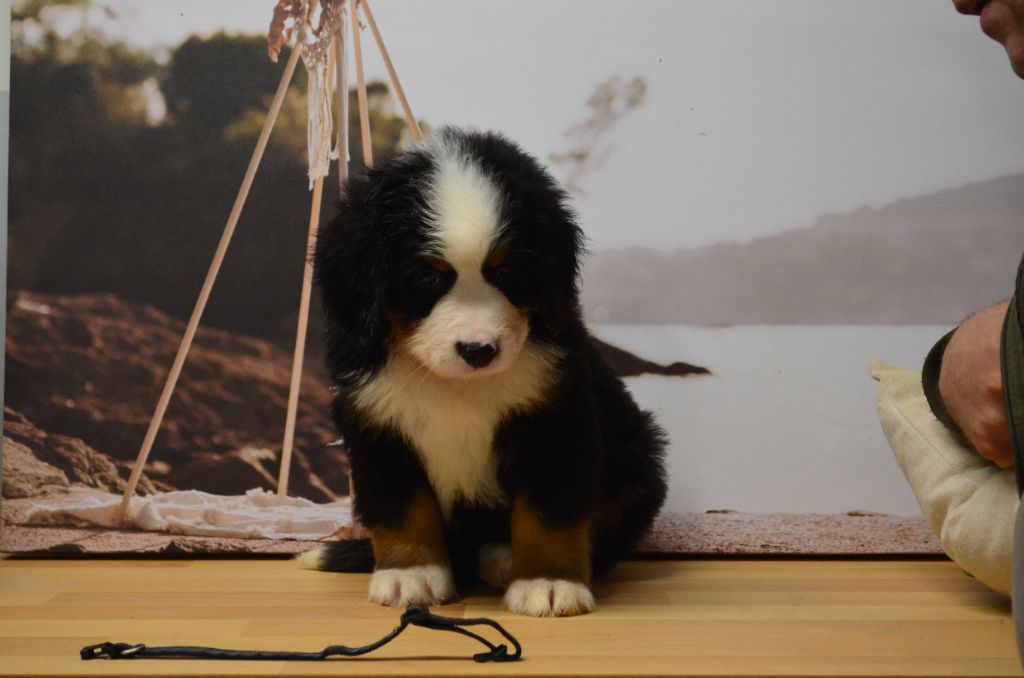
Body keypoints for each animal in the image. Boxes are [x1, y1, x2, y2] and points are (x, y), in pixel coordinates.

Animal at [299, 124, 667, 618]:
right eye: (427, 278)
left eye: (507, 271)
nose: (478, 349)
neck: (457, 387)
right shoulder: (378, 426)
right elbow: (402, 508)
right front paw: (409, 575)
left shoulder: (556, 419)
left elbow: (550, 511)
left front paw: (549, 583)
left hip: (639, 460)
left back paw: (502, 559)